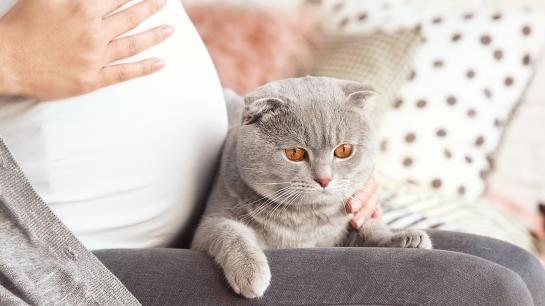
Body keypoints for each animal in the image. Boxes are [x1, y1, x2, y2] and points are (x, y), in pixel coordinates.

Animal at [189, 76, 432, 298]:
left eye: (344, 150)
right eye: (295, 153)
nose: (324, 179)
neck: (304, 221)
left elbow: (371, 228)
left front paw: (404, 237)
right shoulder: (208, 225)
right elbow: (230, 232)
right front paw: (251, 272)